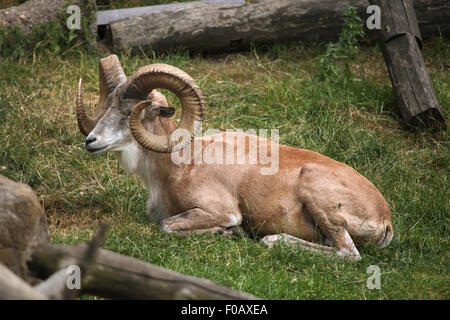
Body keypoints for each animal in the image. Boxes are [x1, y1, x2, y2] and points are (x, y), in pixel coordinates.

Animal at [75, 55, 392, 260]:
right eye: (107, 106)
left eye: (130, 112)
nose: (91, 142)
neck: (180, 166)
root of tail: (384, 217)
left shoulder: (220, 210)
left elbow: (168, 226)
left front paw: (229, 233)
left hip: (321, 202)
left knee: (349, 254)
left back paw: (273, 240)